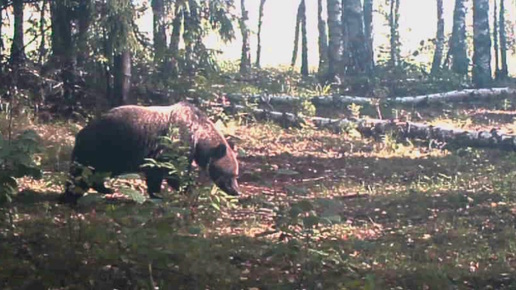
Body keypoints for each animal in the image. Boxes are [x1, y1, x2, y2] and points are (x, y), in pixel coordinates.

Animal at [59, 102, 241, 204]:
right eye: (232, 174)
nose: (236, 191)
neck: (198, 136)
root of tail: (81, 132)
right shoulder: (175, 142)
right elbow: (171, 172)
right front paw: (186, 191)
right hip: (103, 148)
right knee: (80, 174)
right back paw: (71, 196)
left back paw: (105, 189)